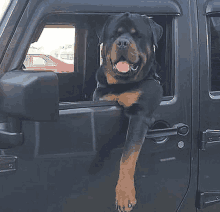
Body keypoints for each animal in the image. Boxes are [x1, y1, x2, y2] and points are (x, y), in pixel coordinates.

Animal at [92, 12, 162, 211]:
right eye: (114, 35)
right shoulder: (101, 100)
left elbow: (128, 156)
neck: (122, 85)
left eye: (137, 35)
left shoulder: (140, 114)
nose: (123, 42)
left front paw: (124, 193)